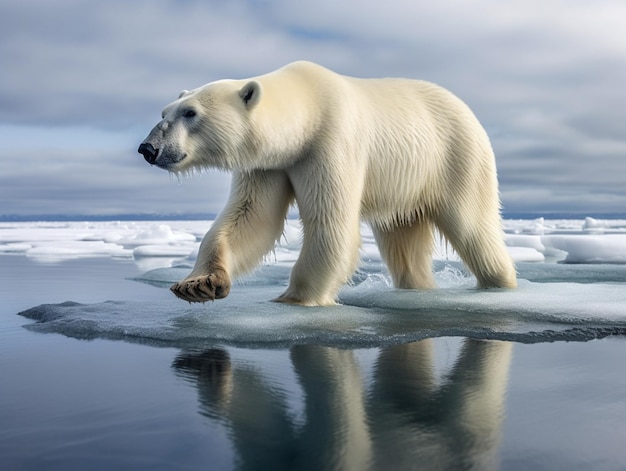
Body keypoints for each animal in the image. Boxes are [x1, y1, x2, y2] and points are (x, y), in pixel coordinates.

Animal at [139, 60, 516, 306]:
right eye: (164, 112)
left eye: (190, 113)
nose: (148, 148)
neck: (307, 109)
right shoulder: (270, 163)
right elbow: (251, 218)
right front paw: (198, 284)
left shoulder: (330, 142)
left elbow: (331, 226)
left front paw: (292, 299)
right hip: (406, 184)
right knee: (403, 240)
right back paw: (418, 287)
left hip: (455, 156)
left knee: (472, 225)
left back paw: (500, 283)